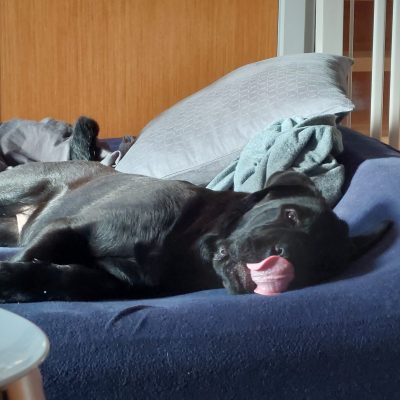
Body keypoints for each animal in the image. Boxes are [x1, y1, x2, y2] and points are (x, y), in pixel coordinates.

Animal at [0, 161, 390, 302]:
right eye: (290, 215)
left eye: (321, 264)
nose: (287, 255)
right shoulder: (69, 228)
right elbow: (34, 259)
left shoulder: (114, 281)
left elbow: (60, 279)